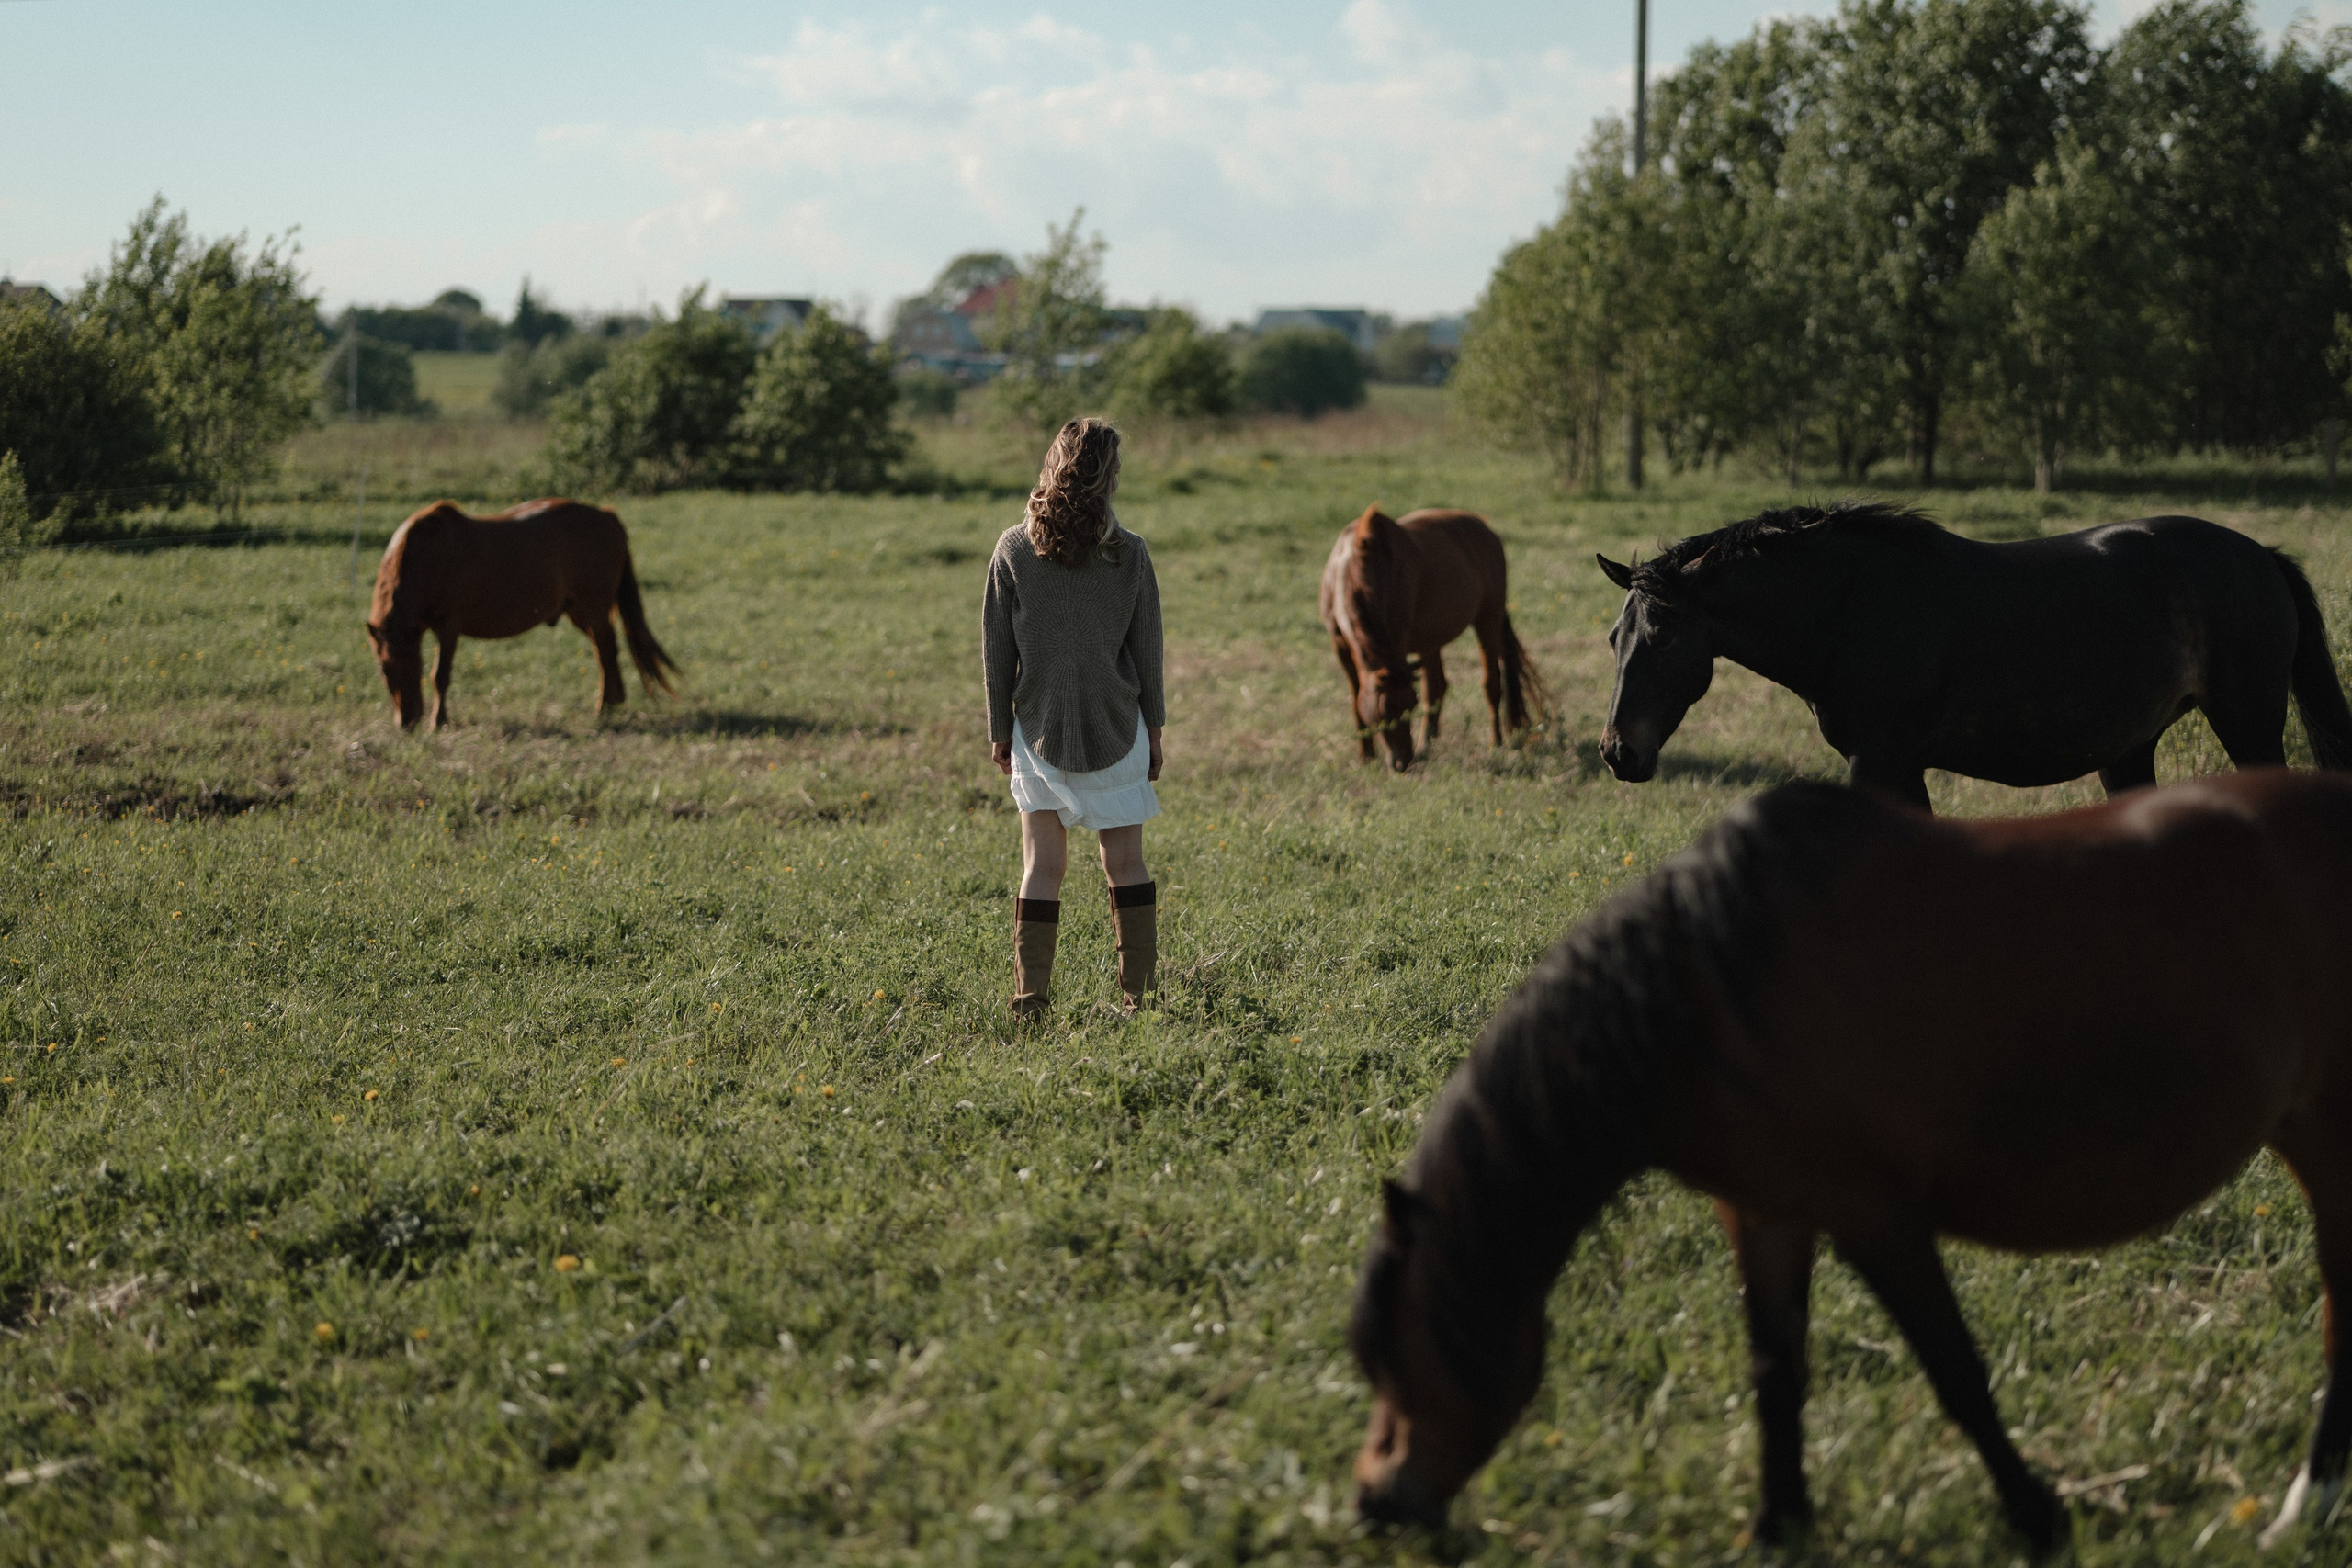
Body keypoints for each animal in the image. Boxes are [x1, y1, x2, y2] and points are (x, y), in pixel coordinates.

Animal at [365, 499, 678, 730]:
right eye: (382, 669)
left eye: (403, 665)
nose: (406, 722)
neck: (427, 558)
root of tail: (608, 516)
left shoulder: (448, 627)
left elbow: (439, 676)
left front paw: (439, 722)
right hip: (580, 612)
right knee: (606, 652)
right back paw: (614, 704)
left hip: (594, 609)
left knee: (606, 653)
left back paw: (603, 709)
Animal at [1320, 506, 1548, 770]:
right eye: (1386, 710)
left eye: (1411, 706)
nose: (1403, 762)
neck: (1355, 571)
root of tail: (1485, 528)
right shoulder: (1340, 645)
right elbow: (1356, 697)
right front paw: (1365, 755)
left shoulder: (1398, 641)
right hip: (1430, 639)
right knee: (1438, 685)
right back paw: (1427, 745)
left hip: (1487, 620)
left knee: (1491, 682)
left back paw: (1495, 743)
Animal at [1351, 768, 2352, 1553]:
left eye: (1395, 1350)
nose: (1374, 1503)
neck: (1709, 995)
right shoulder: (1767, 1213)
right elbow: (1776, 1373)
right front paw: (1777, 1523)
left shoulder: (1876, 1219)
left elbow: (1957, 1375)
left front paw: (2036, 1515)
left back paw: (2306, 1502)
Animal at [1595, 501, 2352, 810]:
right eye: (1613, 638)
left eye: (1662, 636)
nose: (1616, 751)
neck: (1849, 605)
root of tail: (2265, 556)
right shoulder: (1901, 766)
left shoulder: (1879, 761)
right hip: (2130, 750)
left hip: (2248, 724)